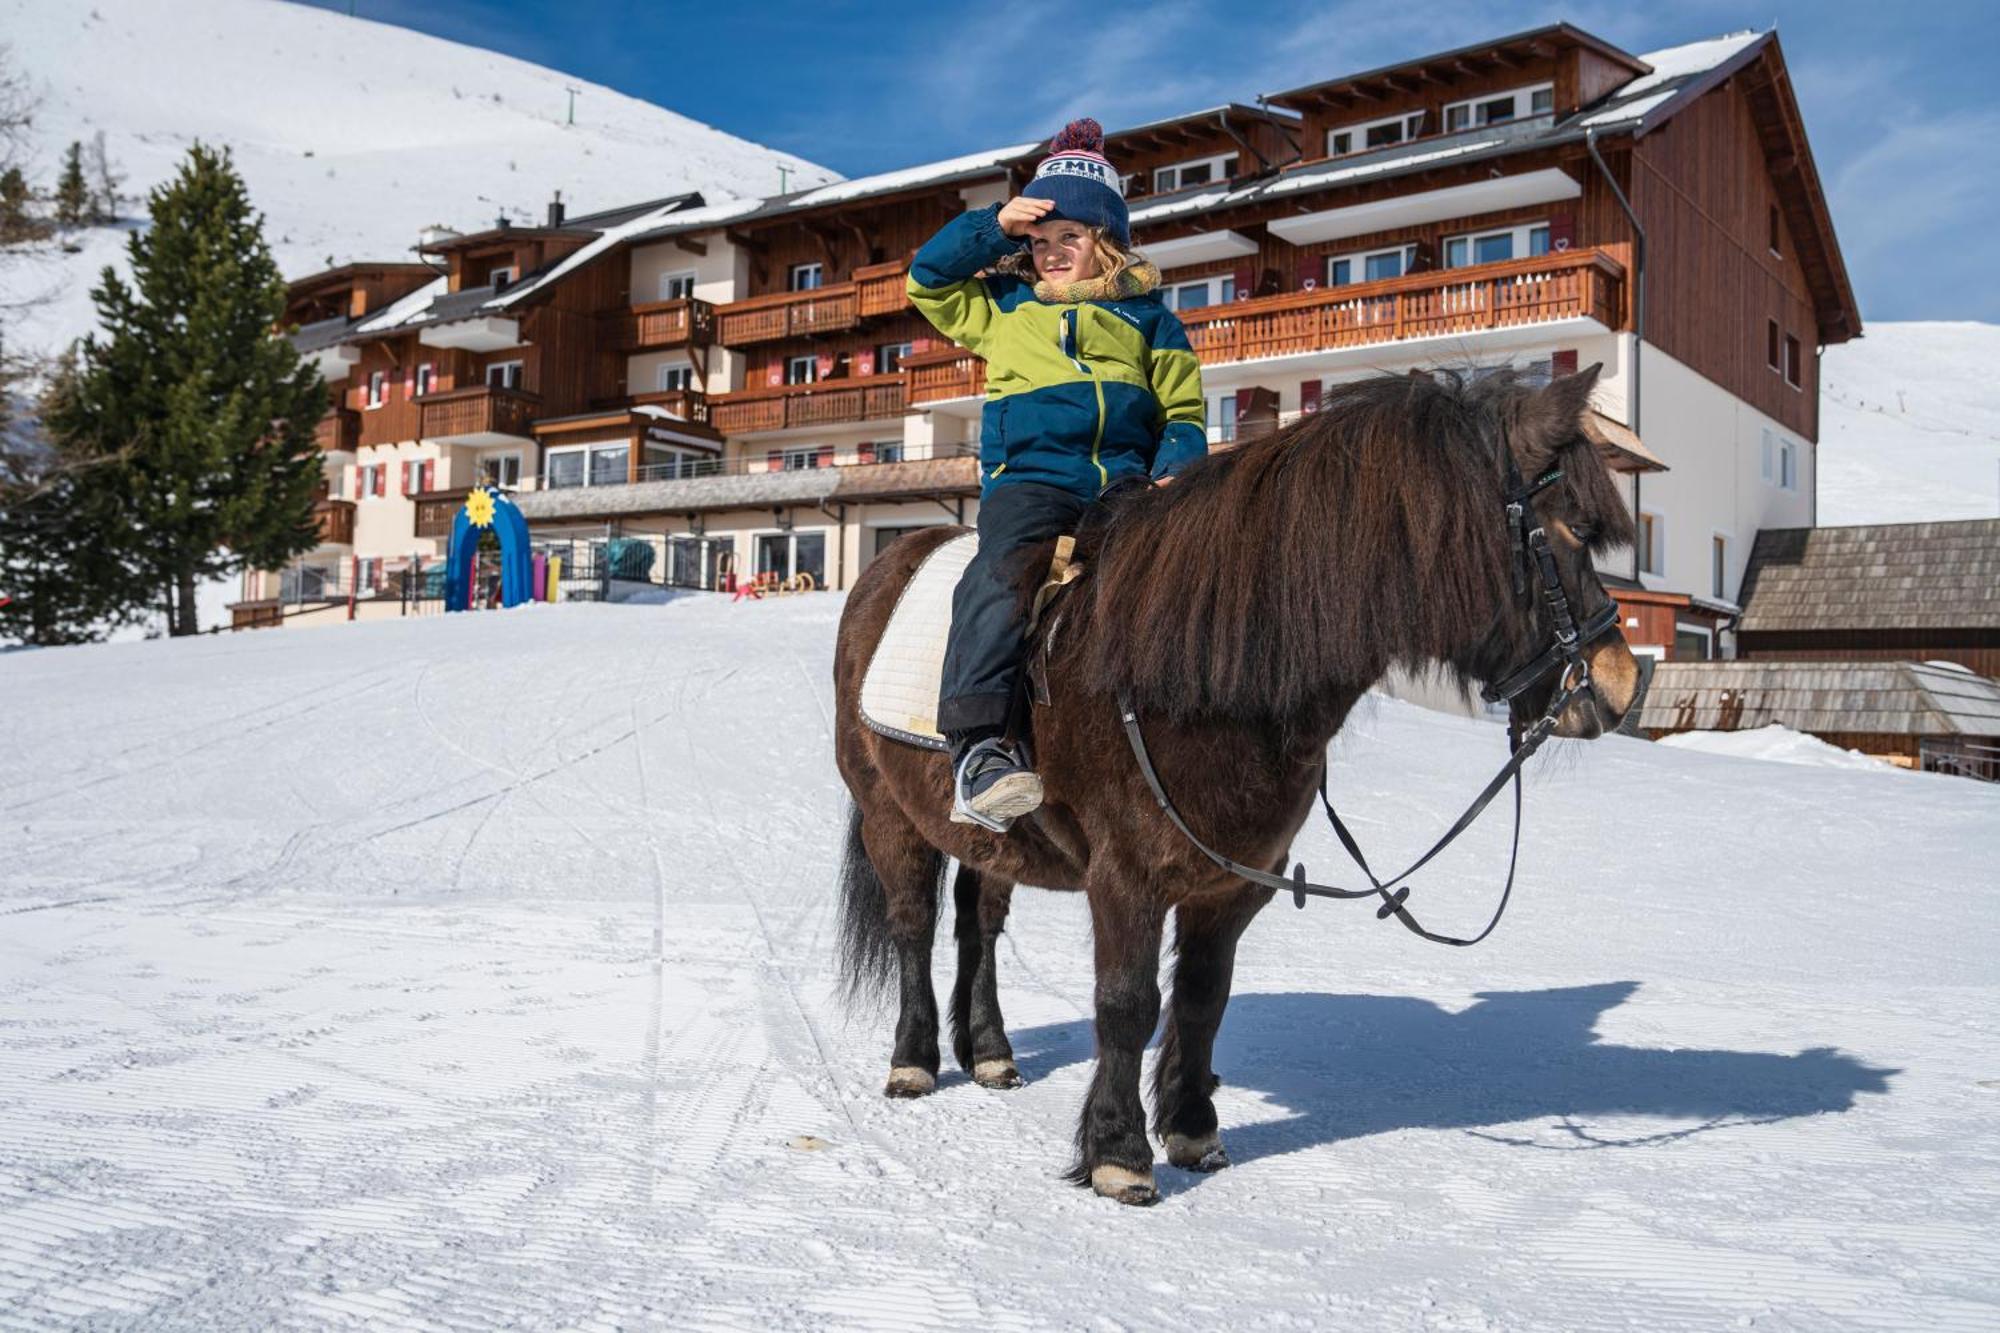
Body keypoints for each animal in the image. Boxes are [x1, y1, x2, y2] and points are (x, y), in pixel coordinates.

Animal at [828, 366, 1640, 1200]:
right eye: (1576, 530)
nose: (1621, 685)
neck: (1198, 672)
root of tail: (886, 567)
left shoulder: (1235, 883)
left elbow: (1201, 998)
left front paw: (1191, 1128)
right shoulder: (1125, 877)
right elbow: (1127, 1002)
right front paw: (1118, 1151)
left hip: (992, 836)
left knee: (978, 922)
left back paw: (990, 1049)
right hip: (888, 812)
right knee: (914, 922)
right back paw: (914, 1059)